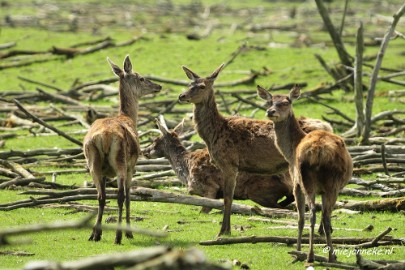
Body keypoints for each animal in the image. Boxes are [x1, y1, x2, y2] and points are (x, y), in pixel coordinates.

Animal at [82, 55, 161, 245]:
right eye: (141, 78)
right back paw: (118, 236)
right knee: (120, 197)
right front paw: (129, 233)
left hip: (93, 163)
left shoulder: (104, 172)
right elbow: (129, 197)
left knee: (100, 196)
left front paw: (98, 232)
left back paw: (95, 234)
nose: (158, 86)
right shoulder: (132, 166)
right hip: (120, 161)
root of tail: (103, 137)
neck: (128, 117)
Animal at [258, 85, 352, 262]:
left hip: (308, 180)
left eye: (285, 102)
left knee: (312, 214)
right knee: (325, 216)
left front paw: (297, 249)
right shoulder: (322, 190)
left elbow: (300, 218)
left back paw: (309, 255)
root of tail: (319, 151)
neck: (291, 152)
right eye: (269, 101)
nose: (270, 111)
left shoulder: (295, 182)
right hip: (331, 185)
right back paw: (330, 256)